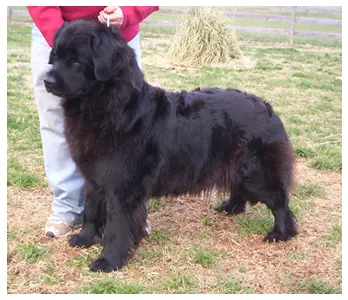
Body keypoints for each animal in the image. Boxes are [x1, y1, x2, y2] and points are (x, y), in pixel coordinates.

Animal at [44, 18, 298, 272]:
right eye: (55, 57)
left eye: (77, 61)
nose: (46, 81)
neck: (108, 106)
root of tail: (268, 107)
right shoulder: (93, 176)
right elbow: (91, 209)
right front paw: (85, 238)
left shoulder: (122, 186)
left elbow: (117, 226)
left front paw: (109, 260)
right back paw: (231, 207)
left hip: (256, 173)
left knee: (280, 202)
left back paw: (281, 233)